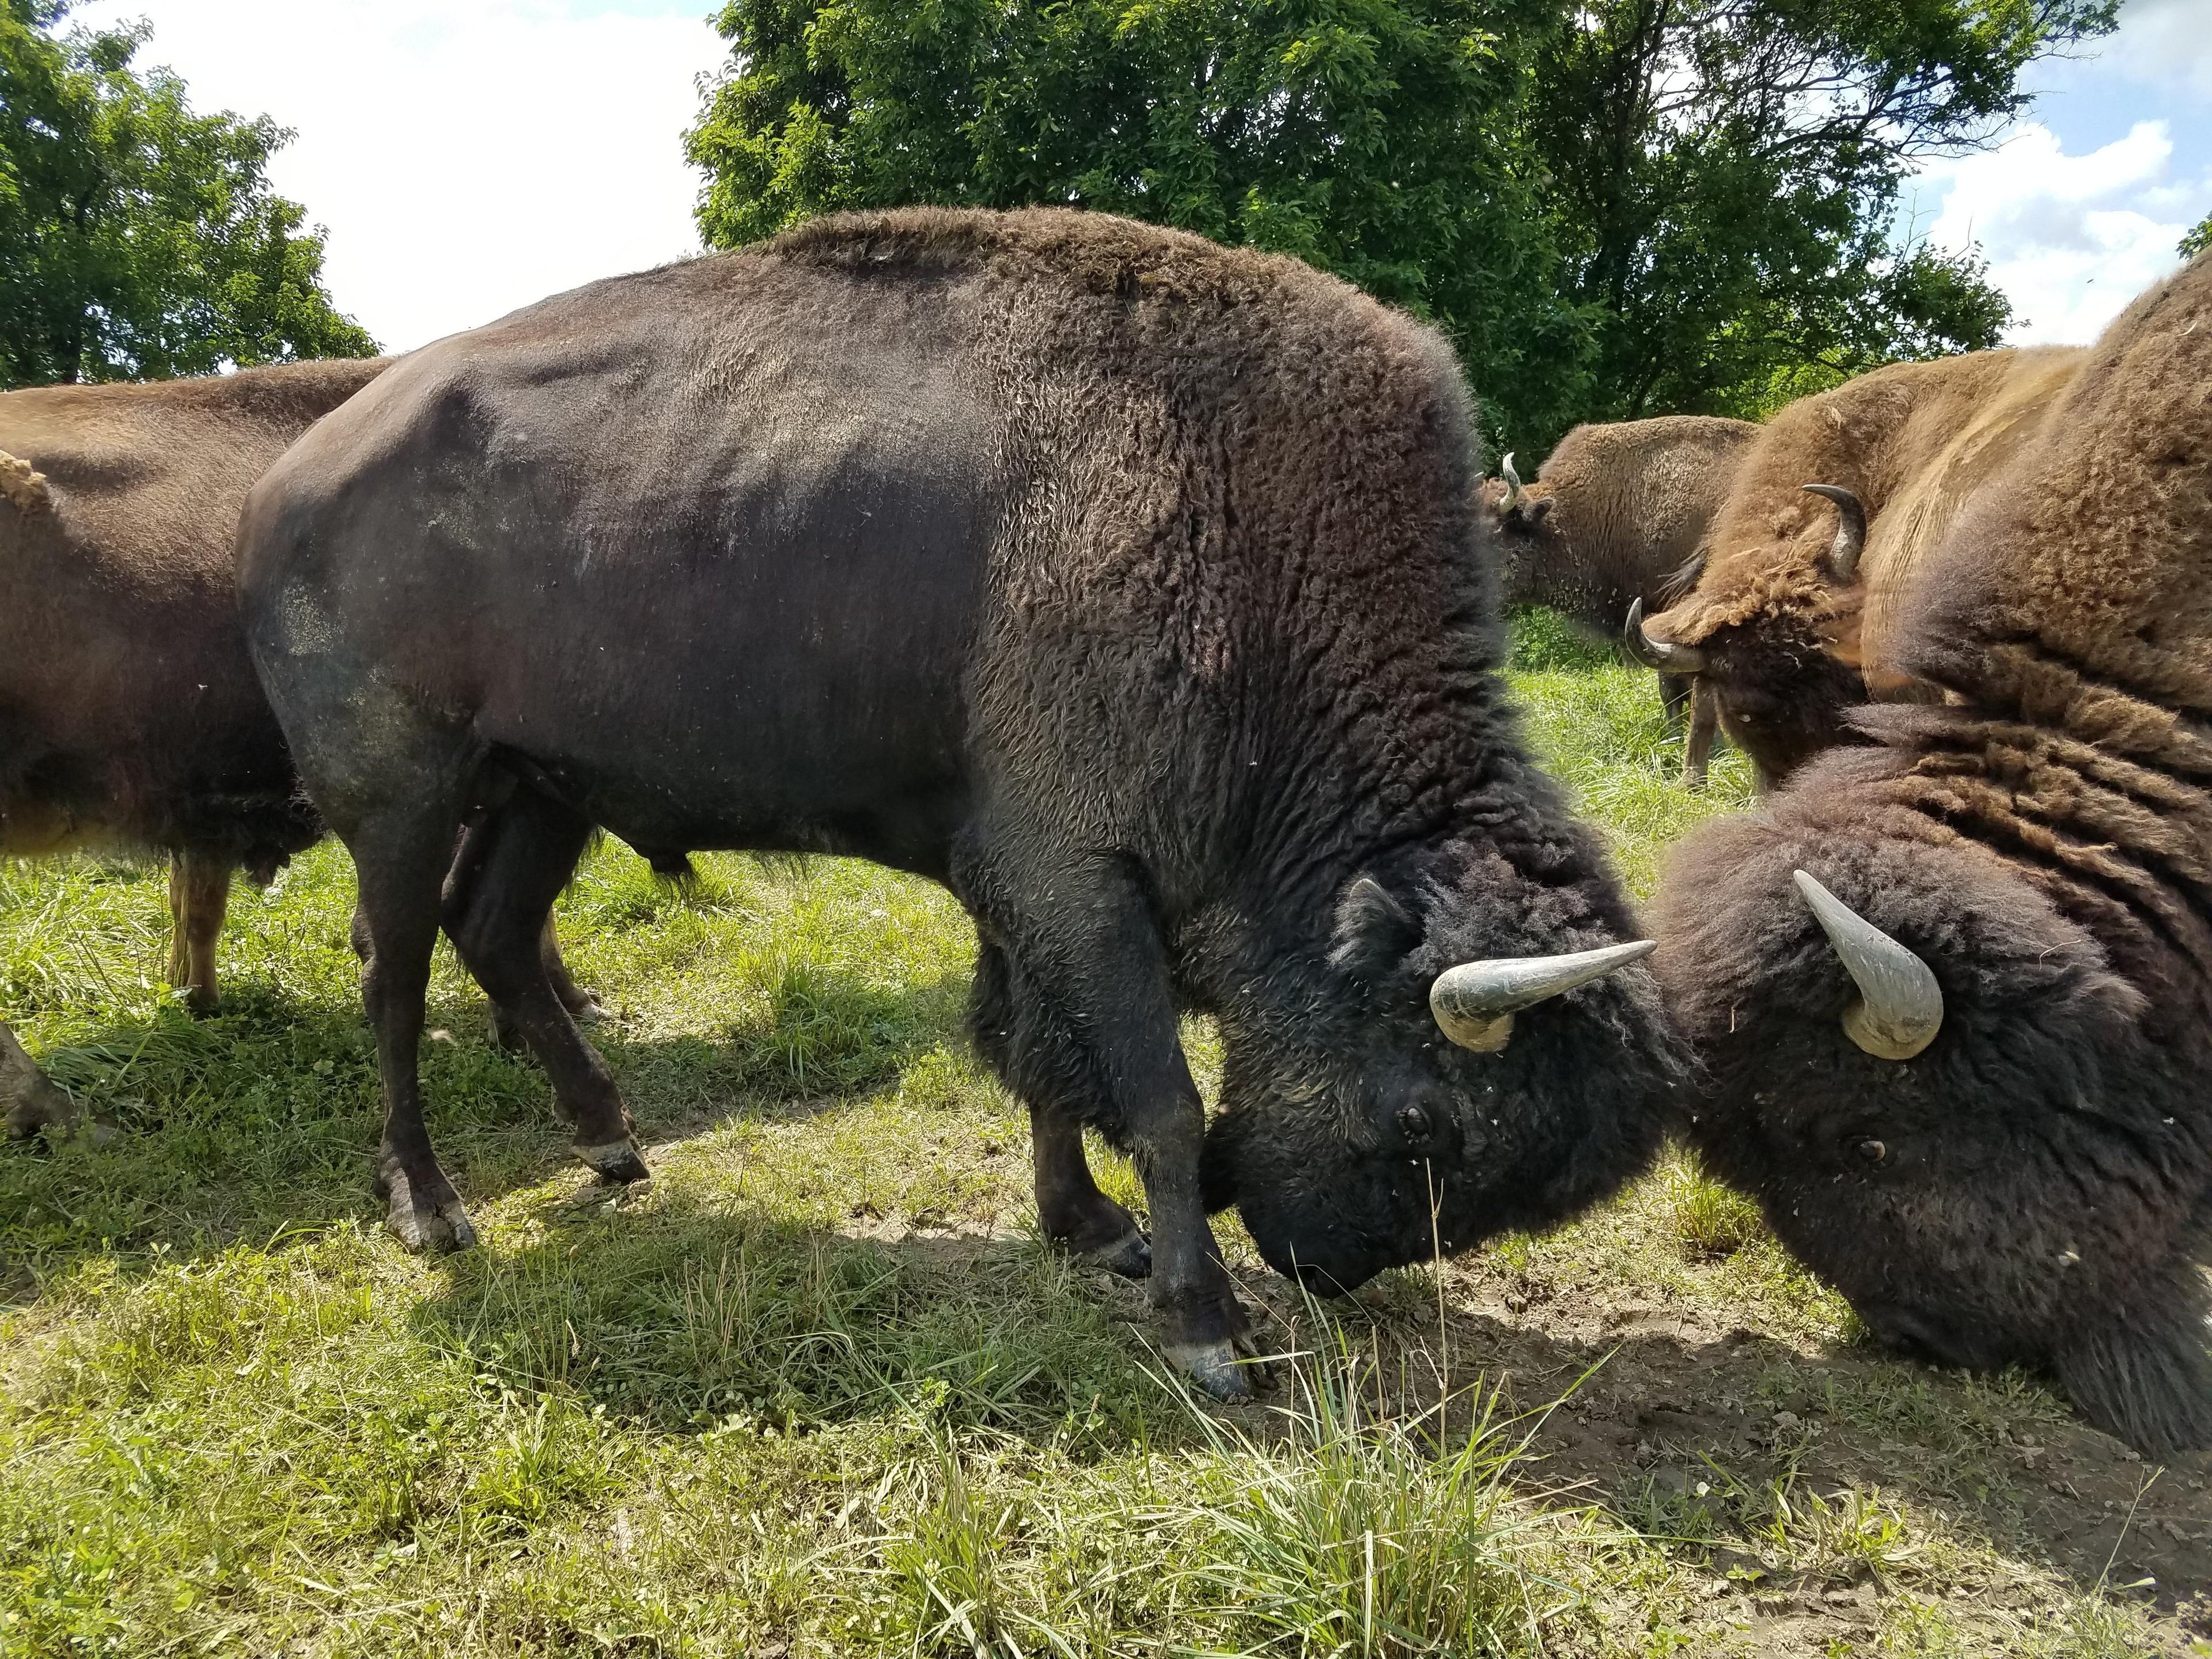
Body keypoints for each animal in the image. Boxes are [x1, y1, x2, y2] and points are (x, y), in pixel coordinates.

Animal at [237, 207, 1672, 1407]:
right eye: (1426, 1120)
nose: (1314, 1260)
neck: (1242, 528)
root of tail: (285, 484)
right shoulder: (1078, 879)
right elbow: (1154, 1097)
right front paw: (1207, 1329)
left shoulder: (1021, 886)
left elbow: (1041, 1062)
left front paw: (1090, 1232)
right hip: (403, 800)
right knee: (395, 978)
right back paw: (434, 1212)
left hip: (546, 790)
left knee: (493, 932)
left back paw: (610, 1146)